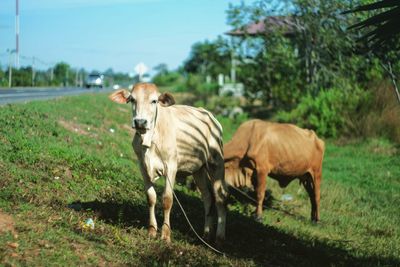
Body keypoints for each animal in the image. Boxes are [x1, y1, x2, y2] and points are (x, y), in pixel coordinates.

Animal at [109, 82, 228, 246]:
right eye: (132, 99)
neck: (151, 138)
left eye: (154, 101)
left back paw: (219, 238)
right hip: (198, 170)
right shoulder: (143, 167)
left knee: (220, 197)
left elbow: (167, 199)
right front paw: (152, 231)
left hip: (216, 163)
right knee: (207, 197)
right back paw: (206, 234)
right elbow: (151, 197)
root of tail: (210, 116)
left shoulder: (171, 166)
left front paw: (165, 235)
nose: (140, 122)